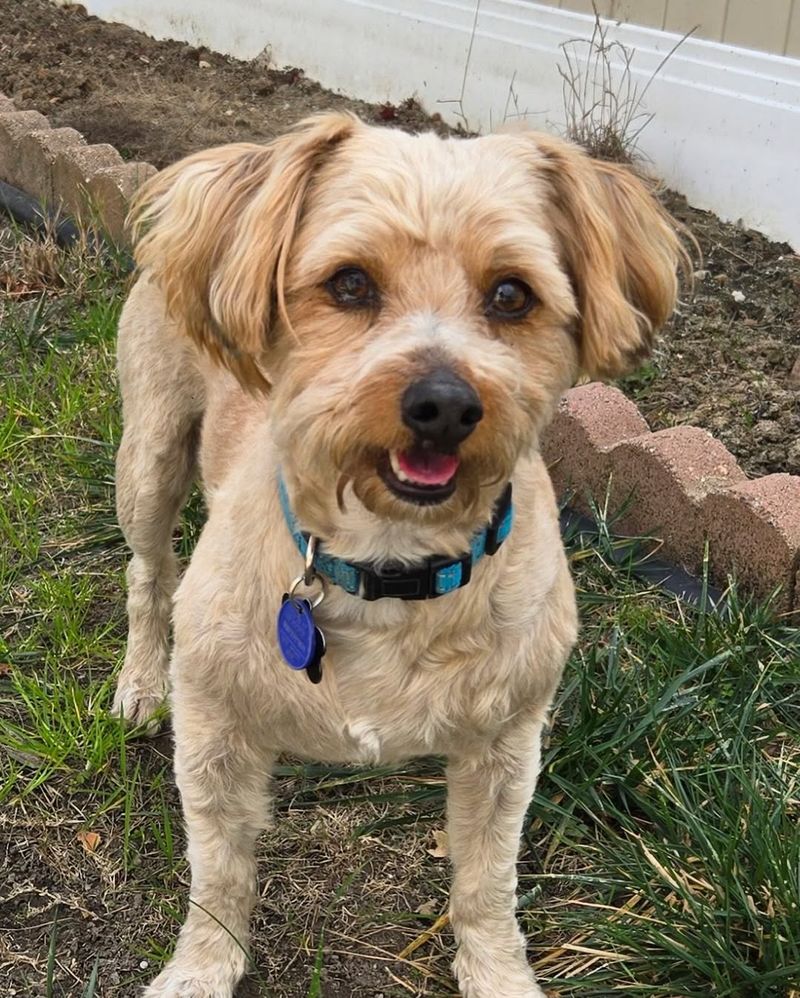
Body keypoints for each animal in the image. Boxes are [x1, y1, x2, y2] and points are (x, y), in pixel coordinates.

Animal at [112, 111, 684, 998]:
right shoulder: (213, 728)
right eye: (349, 284)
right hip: (149, 456)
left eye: (511, 295)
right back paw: (140, 678)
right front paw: (201, 968)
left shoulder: (506, 746)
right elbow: (218, 871)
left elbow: (487, 881)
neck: (389, 565)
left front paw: (497, 972)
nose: (444, 404)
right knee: (146, 572)